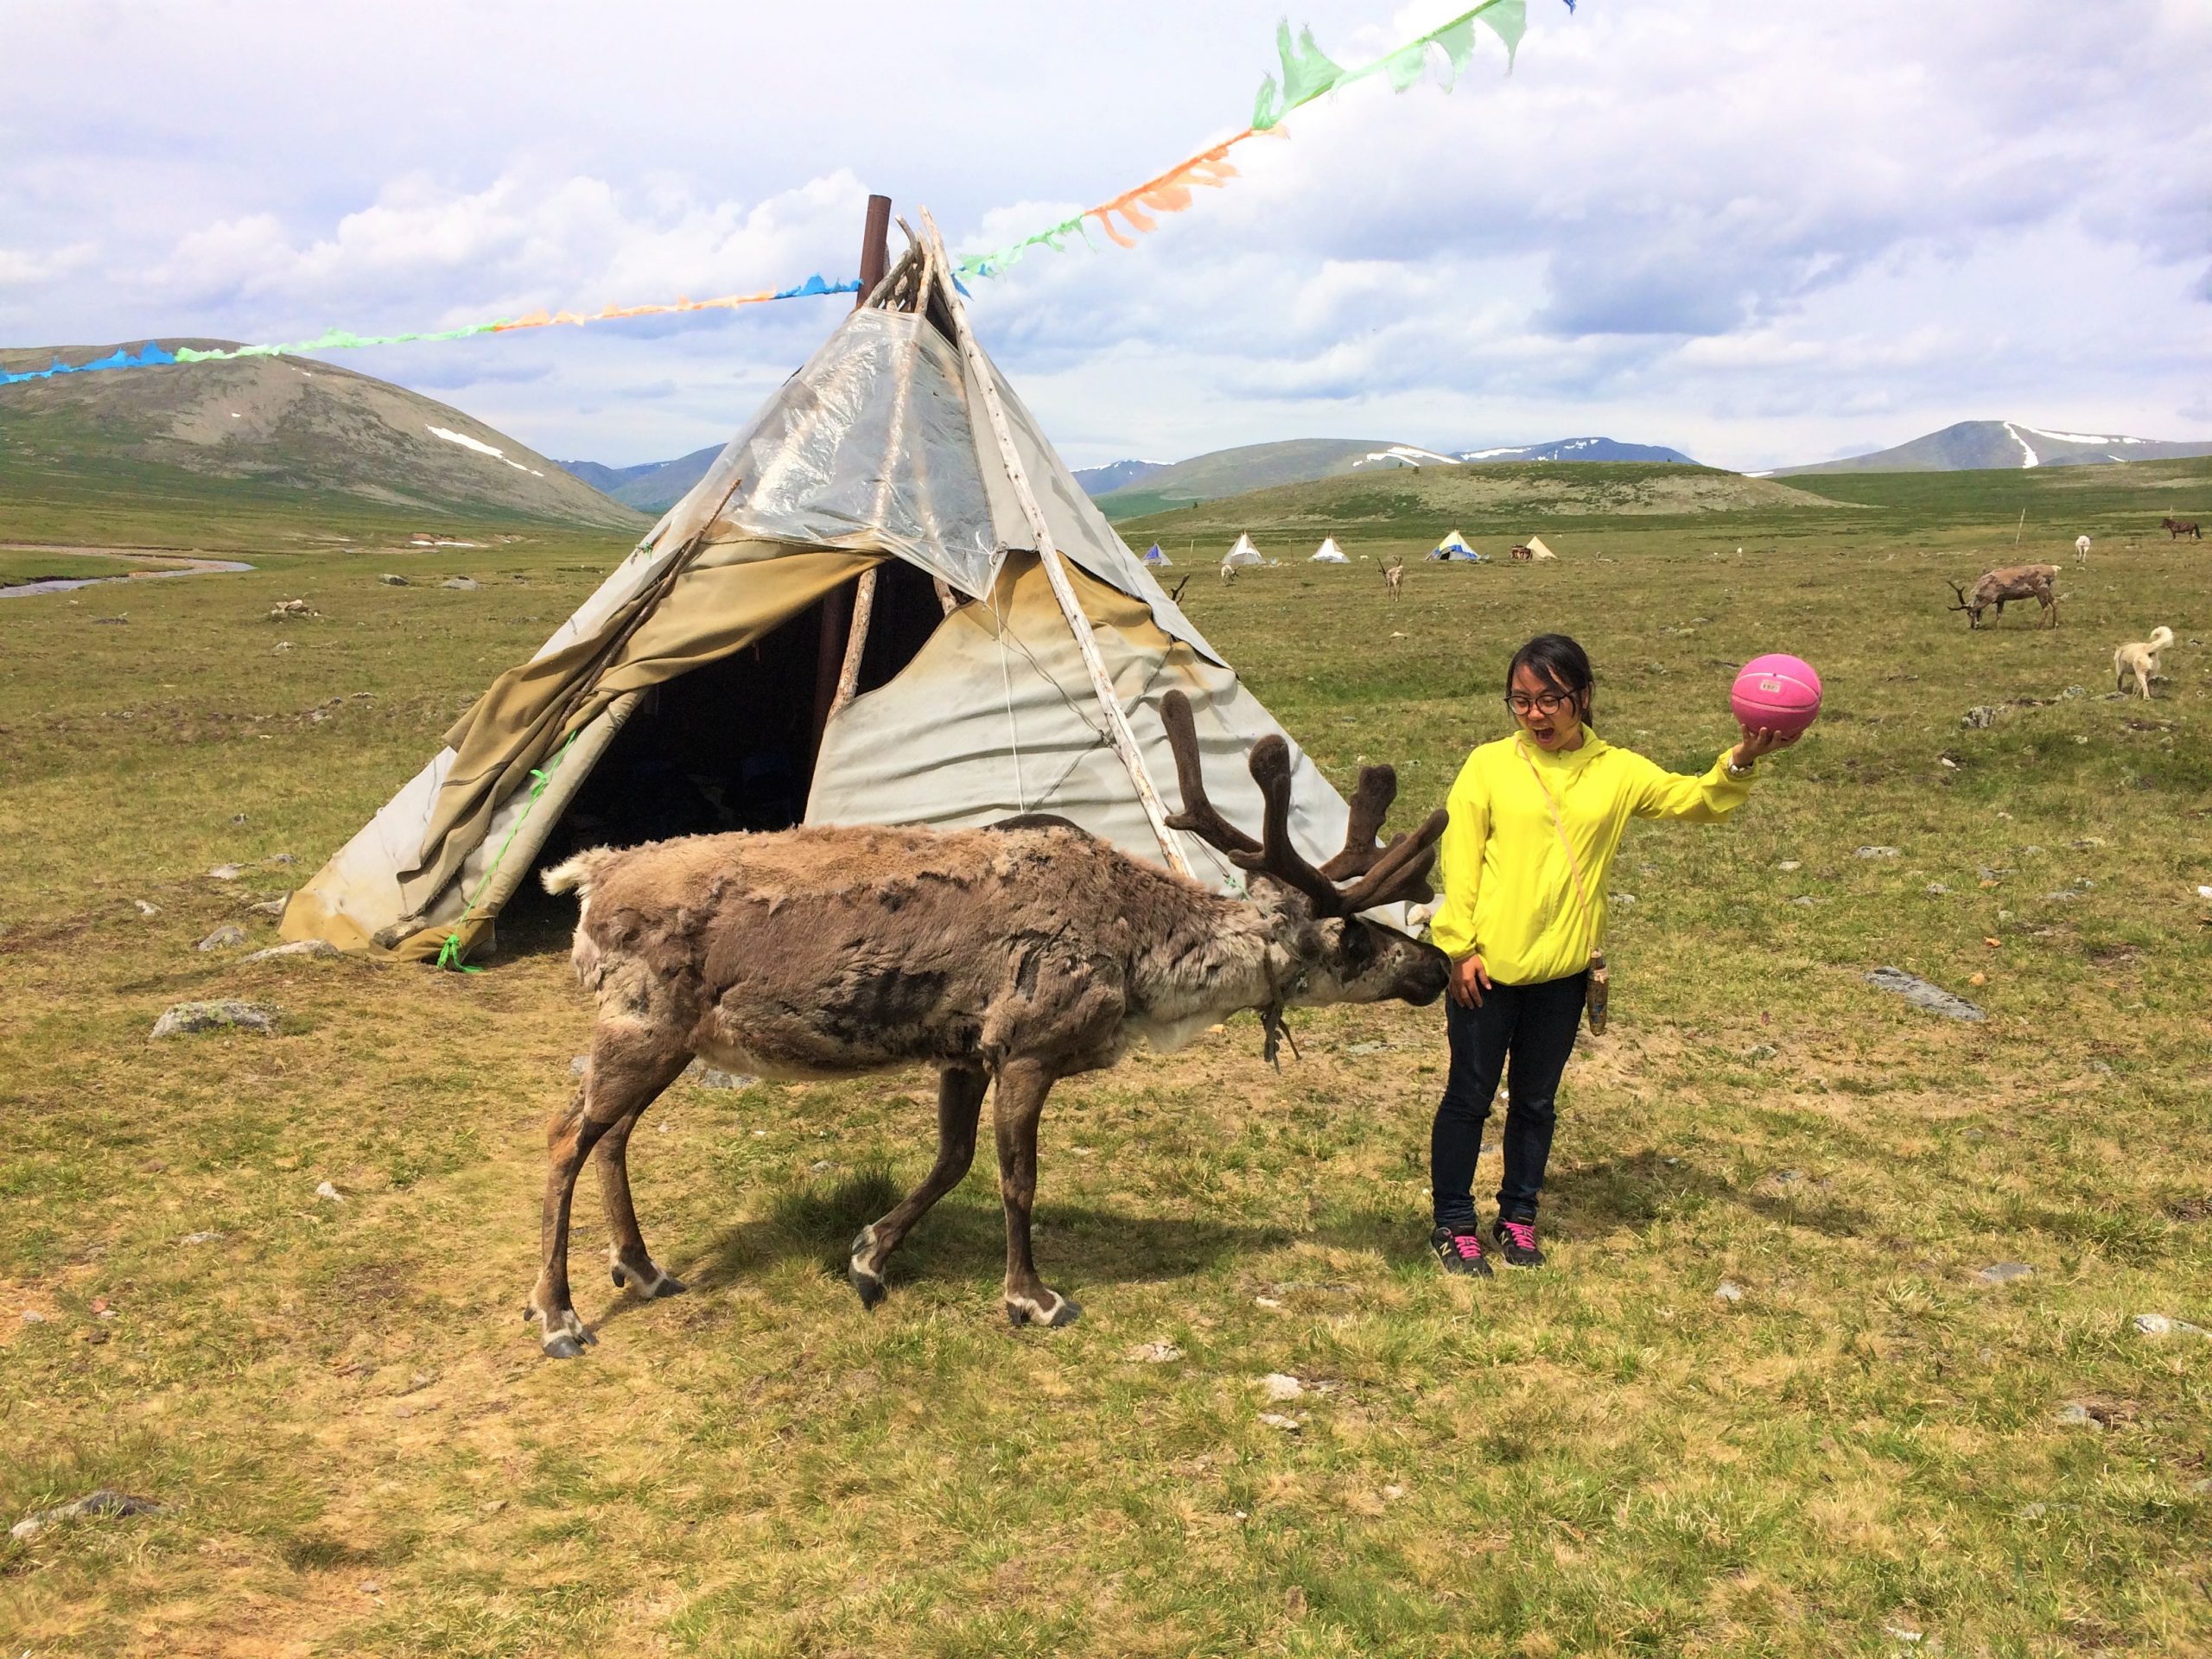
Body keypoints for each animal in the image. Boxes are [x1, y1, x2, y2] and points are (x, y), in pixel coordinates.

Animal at [525, 692, 1449, 1357]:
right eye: (1353, 935)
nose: (1436, 969)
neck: (1135, 958)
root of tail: (593, 875)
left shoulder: (964, 1053)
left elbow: (951, 1159)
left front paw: (868, 1258)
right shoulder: (1029, 1048)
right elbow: (1015, 1179)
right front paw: (1031, 1298)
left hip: (666, 1041)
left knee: (612, 1136)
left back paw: (642, 1269)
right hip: (643, 1028)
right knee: (565, 1137)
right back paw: (559, 1314)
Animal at [1948, 564, 2060, 629]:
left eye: (1970, 613)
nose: (1972, 627)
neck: (1981, 590)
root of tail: (2054, 569)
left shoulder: (1990, 598)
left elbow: (1980, 608)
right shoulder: (2001, 600)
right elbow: (1998, 615)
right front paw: (1998, 628)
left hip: (2041, 590)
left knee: (2046, 607)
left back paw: (2039, 626)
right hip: (2048, 590)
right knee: (2055, 602)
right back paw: (2055, 625)